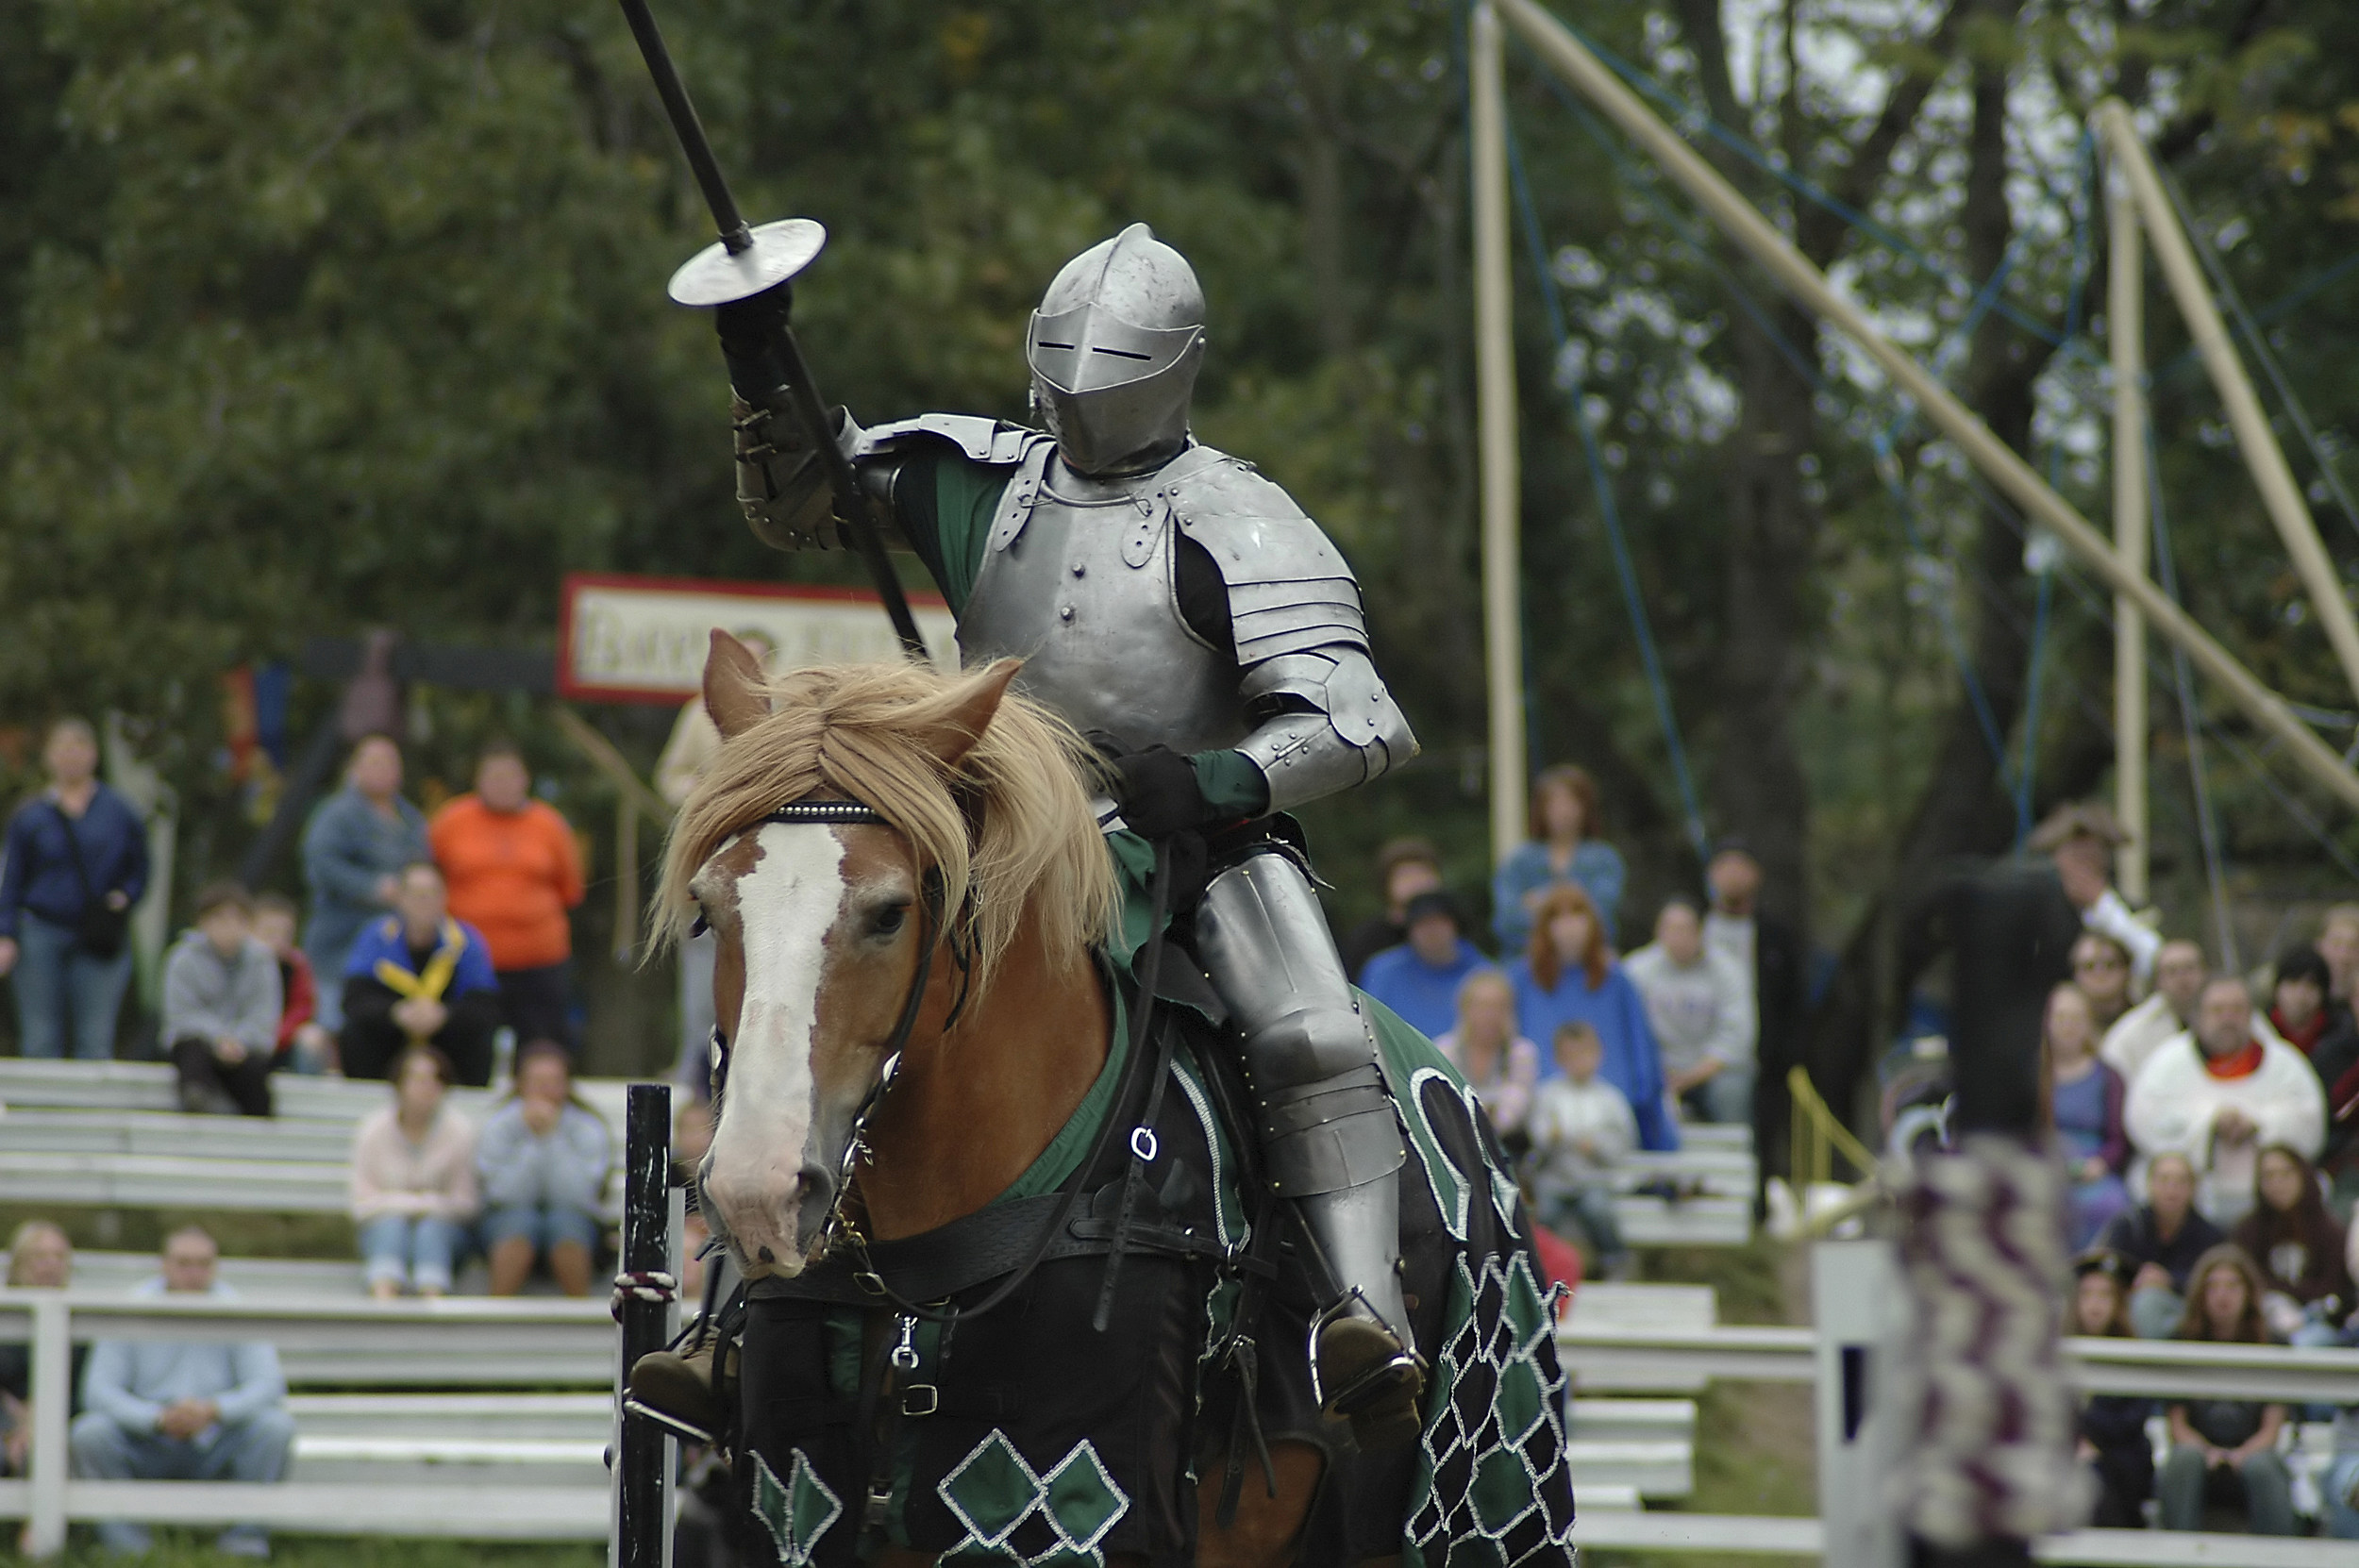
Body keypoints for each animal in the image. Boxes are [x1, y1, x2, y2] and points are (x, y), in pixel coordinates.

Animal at [656, 631, 1576, 1565]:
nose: (758, 1192)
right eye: (710, 907)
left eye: (889, 913)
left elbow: (1342, 706)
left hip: (1483, 1501)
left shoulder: (1068, 1509)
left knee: (1309, 1042)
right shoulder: (804, 1512)